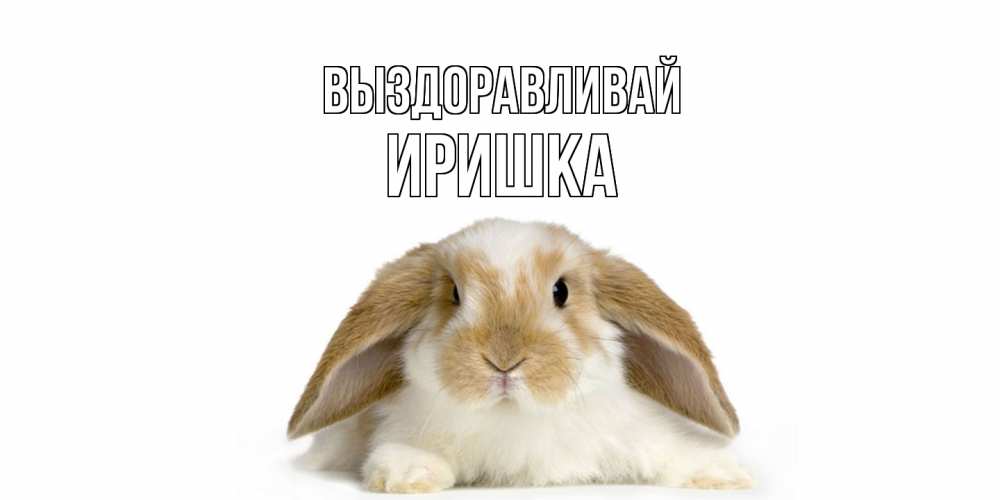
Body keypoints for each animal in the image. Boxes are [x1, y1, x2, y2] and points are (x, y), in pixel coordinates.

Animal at [288, 219, 752, 492]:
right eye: (454, 294)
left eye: (561, 291)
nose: (504, 359)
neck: (515, 417)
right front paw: (408, 474)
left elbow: (670, 450)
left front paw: (724, 474)